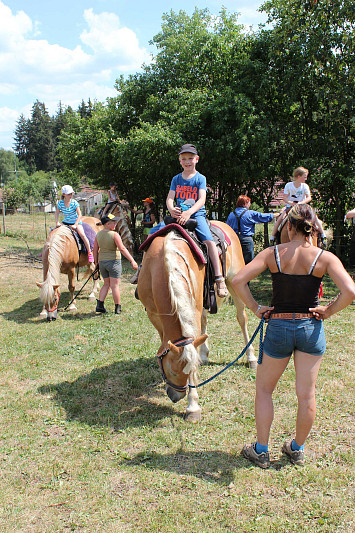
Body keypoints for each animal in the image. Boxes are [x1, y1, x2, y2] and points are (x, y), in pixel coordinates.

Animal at [138, 220, 258, 420]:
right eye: (172, 370)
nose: (176, 396)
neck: (164, 261)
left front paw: (193, 406)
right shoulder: (154, 314)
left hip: (235, 281)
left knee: (242, 318)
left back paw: (251, 358)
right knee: (203, 323)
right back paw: (204, 354)